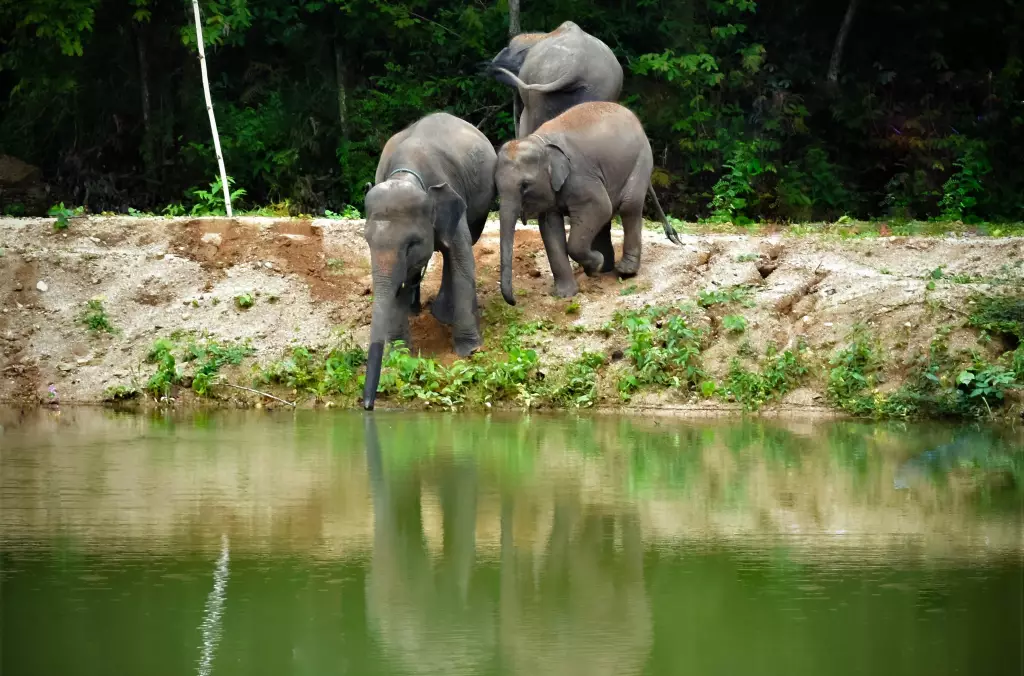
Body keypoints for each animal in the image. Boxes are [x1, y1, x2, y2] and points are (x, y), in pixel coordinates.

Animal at [362, 112, 497, 410]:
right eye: (367, 241)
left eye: (411, 244)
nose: (367, 405)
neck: (407, 174)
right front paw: (400, 354)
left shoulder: (454, 195)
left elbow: (462, 258)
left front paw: (469, 350)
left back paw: (442, 313)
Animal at [483, 21, 623, 138]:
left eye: (509, 49)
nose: (491, 65)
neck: (541, 36)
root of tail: (577, 63)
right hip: (599, 89)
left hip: (541, 85)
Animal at [495, 101, 681, 305]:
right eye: (495, 186)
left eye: (525, 186)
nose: (514, 302)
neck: (540, 142)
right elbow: (551, 228)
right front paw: (565, 294)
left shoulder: (580, 176)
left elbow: (600, 207)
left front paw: (595, 265)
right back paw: (606, 268)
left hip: (641, 161)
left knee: (628, 207)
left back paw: (624, 271)